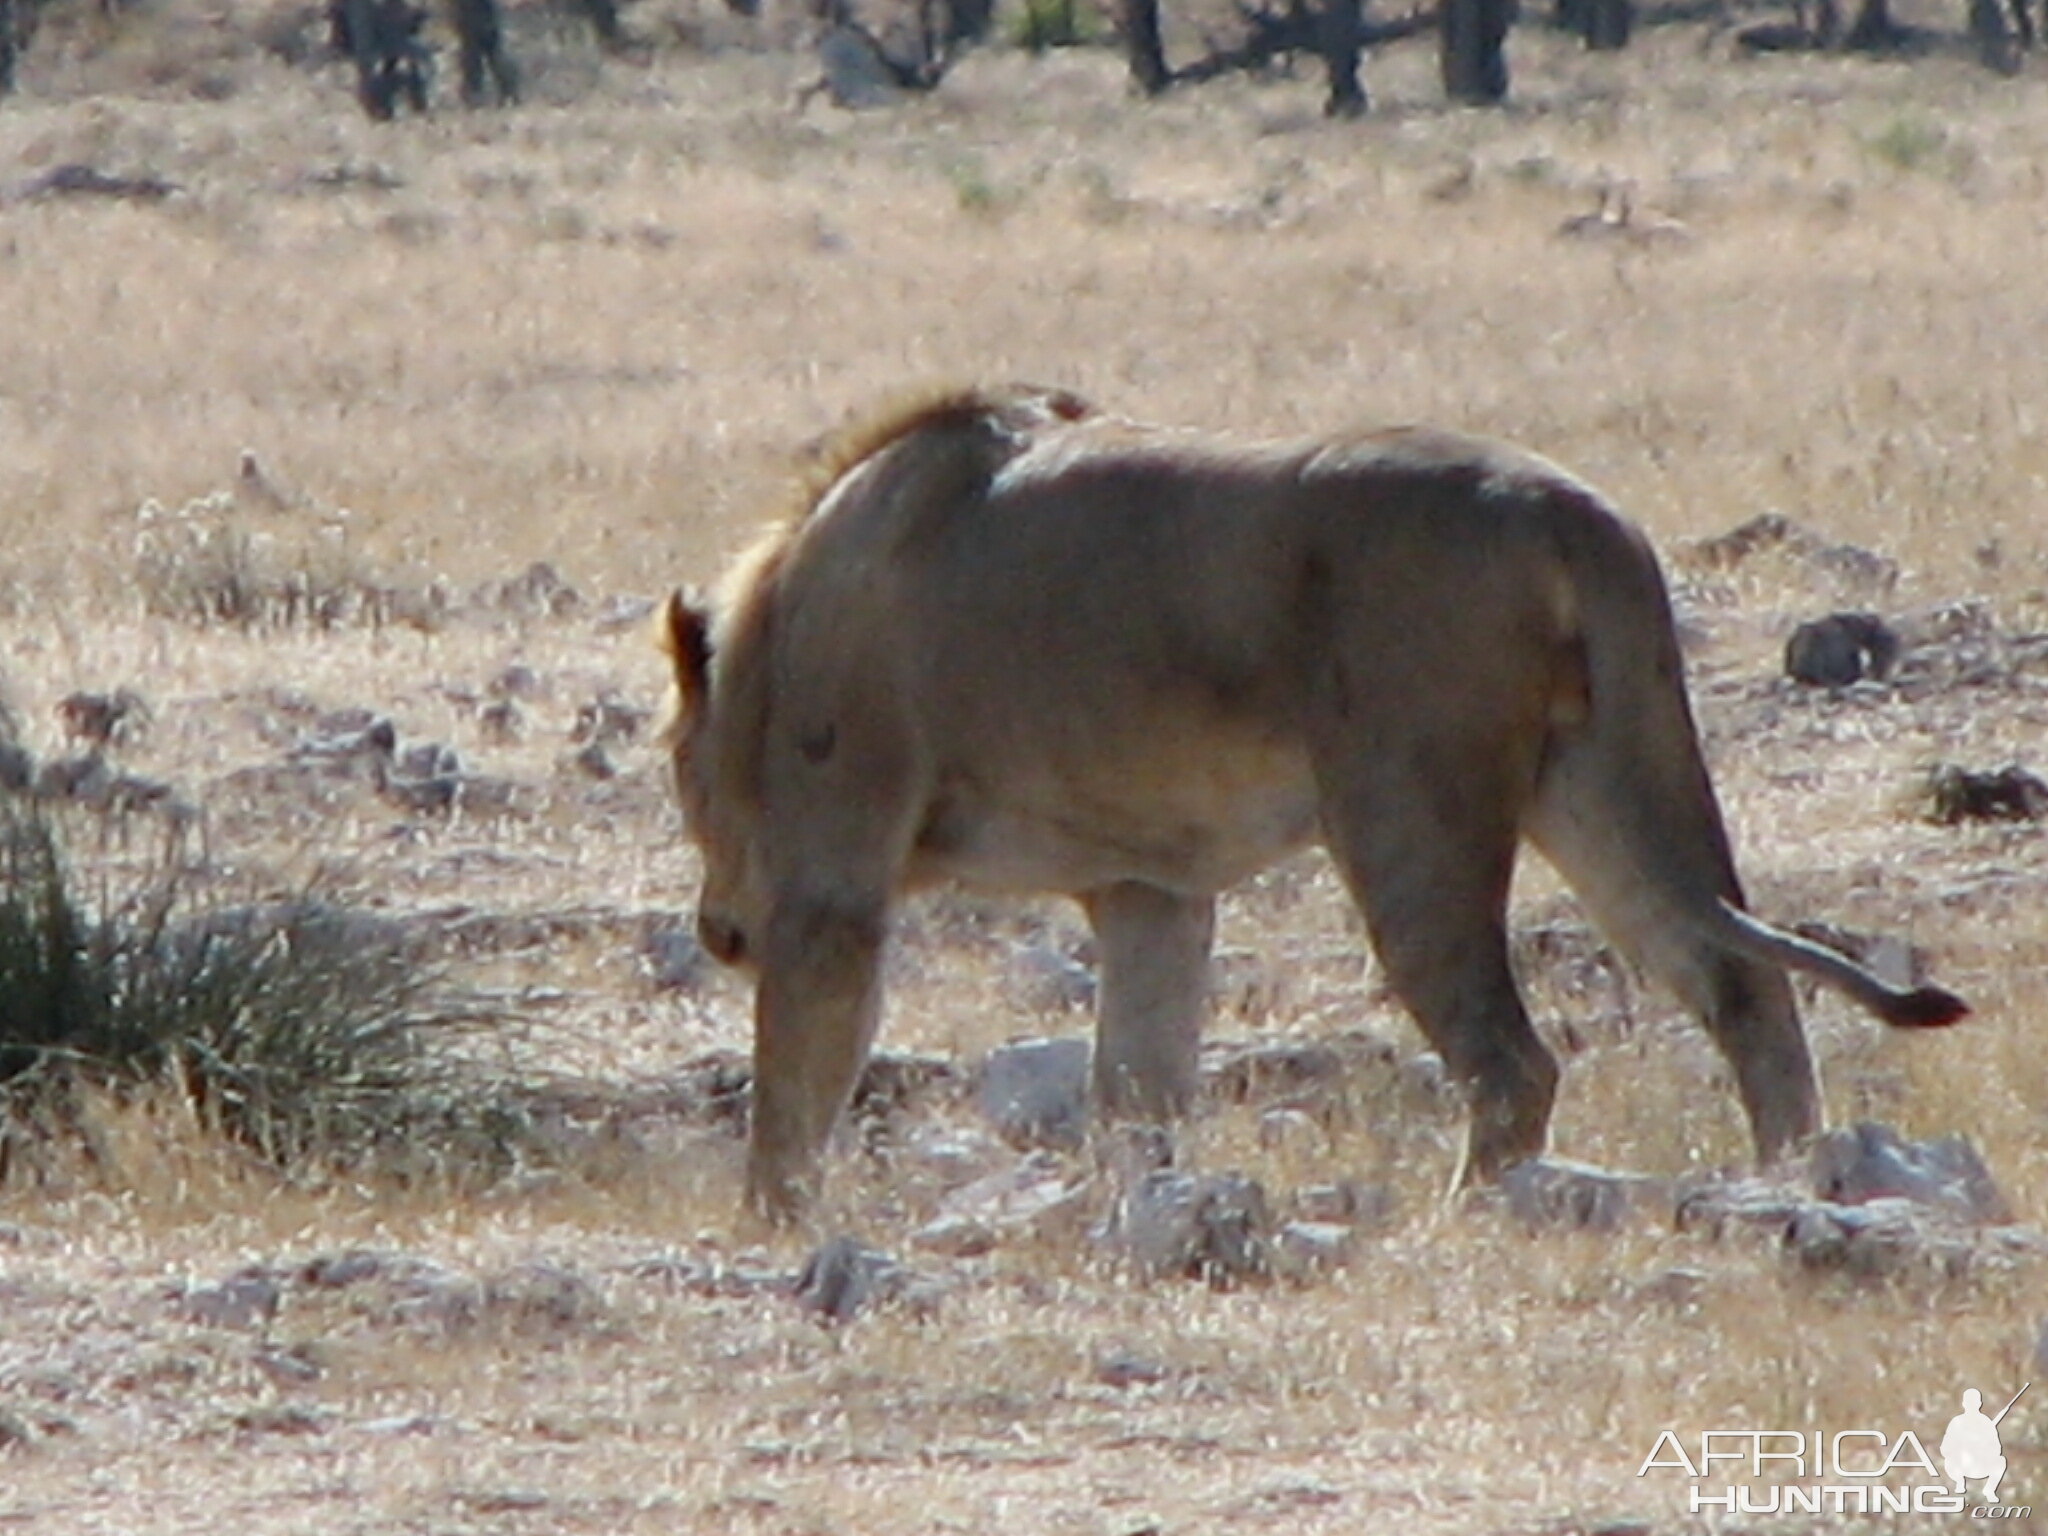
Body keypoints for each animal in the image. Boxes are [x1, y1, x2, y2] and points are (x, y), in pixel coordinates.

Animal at [659, 387, 1966, 1228]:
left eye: (679, 777)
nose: (717, 930)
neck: (781, 615)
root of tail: (1570, 515)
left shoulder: (830, 878)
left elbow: (793, 1082)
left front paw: (766, 1232)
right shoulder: (1148, 886)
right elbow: (1135, 1083)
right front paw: (1132, 1215)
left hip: (1407, 811)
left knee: (1512, 1063)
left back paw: (1462, 1223)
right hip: (1603, 774)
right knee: (1739, 982)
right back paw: (1783, 1183)